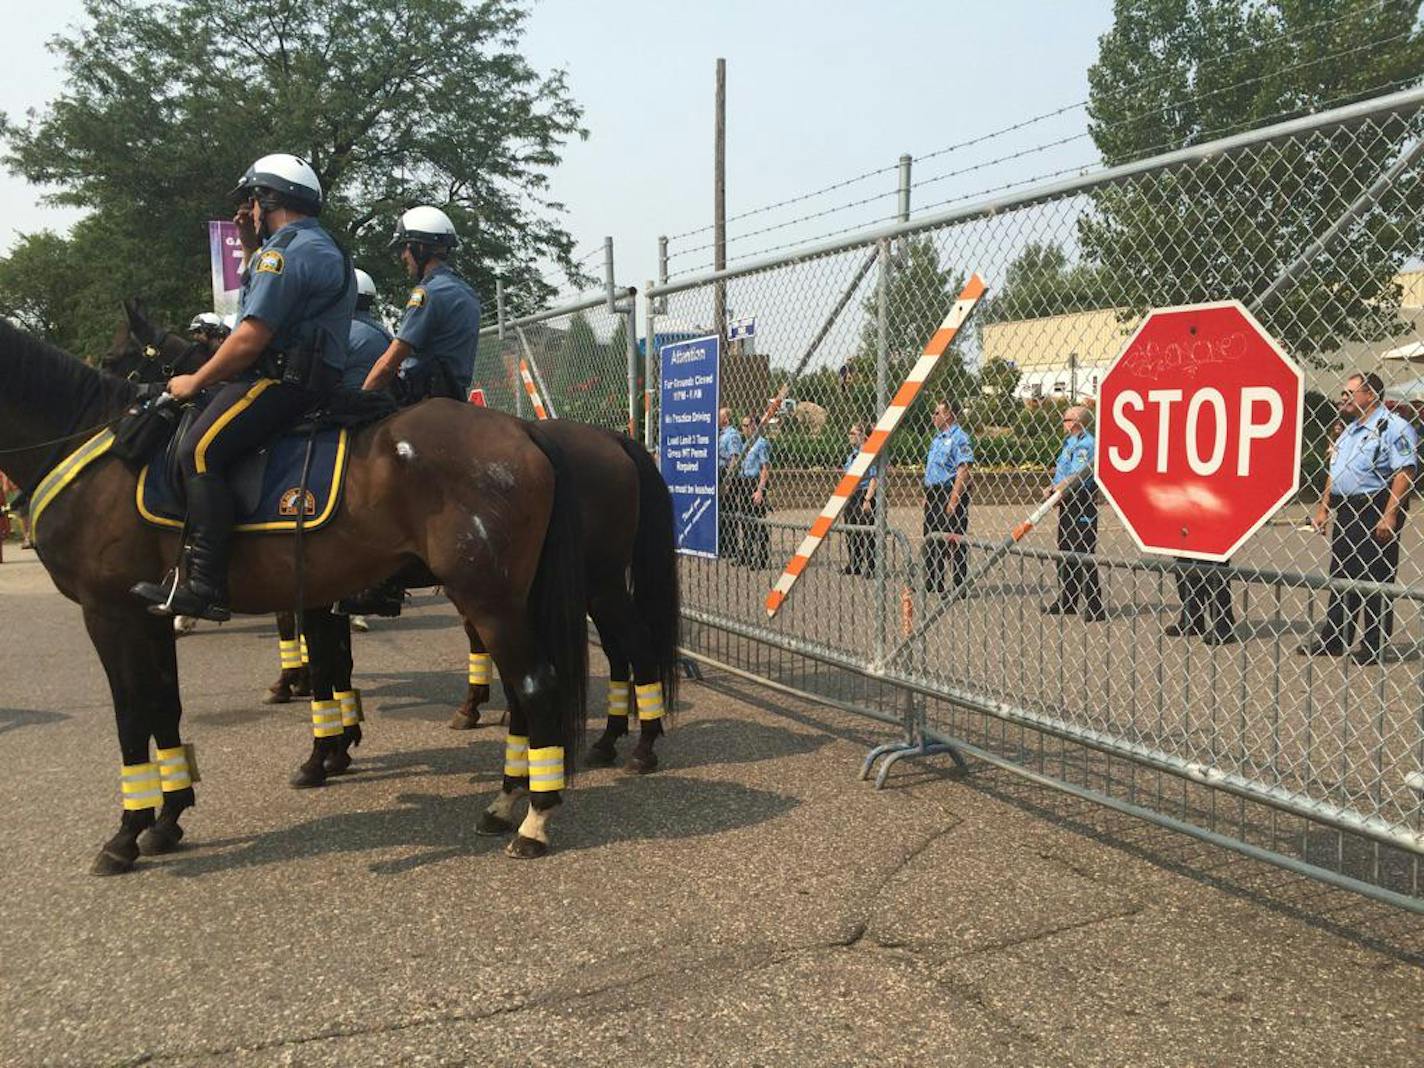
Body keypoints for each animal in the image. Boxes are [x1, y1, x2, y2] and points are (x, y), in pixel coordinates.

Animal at [0, 324, 586, 877]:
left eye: (116, 356)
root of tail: (522, 428)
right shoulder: (151, 615)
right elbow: (165, 706)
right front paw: (168, 819)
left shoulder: (109, 612)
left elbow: (131, 715)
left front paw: (126, 834)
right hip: (502, 600)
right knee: (521, 694)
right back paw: (505, 800)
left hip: (488, 599)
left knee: (535, 687)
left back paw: (534, 818)